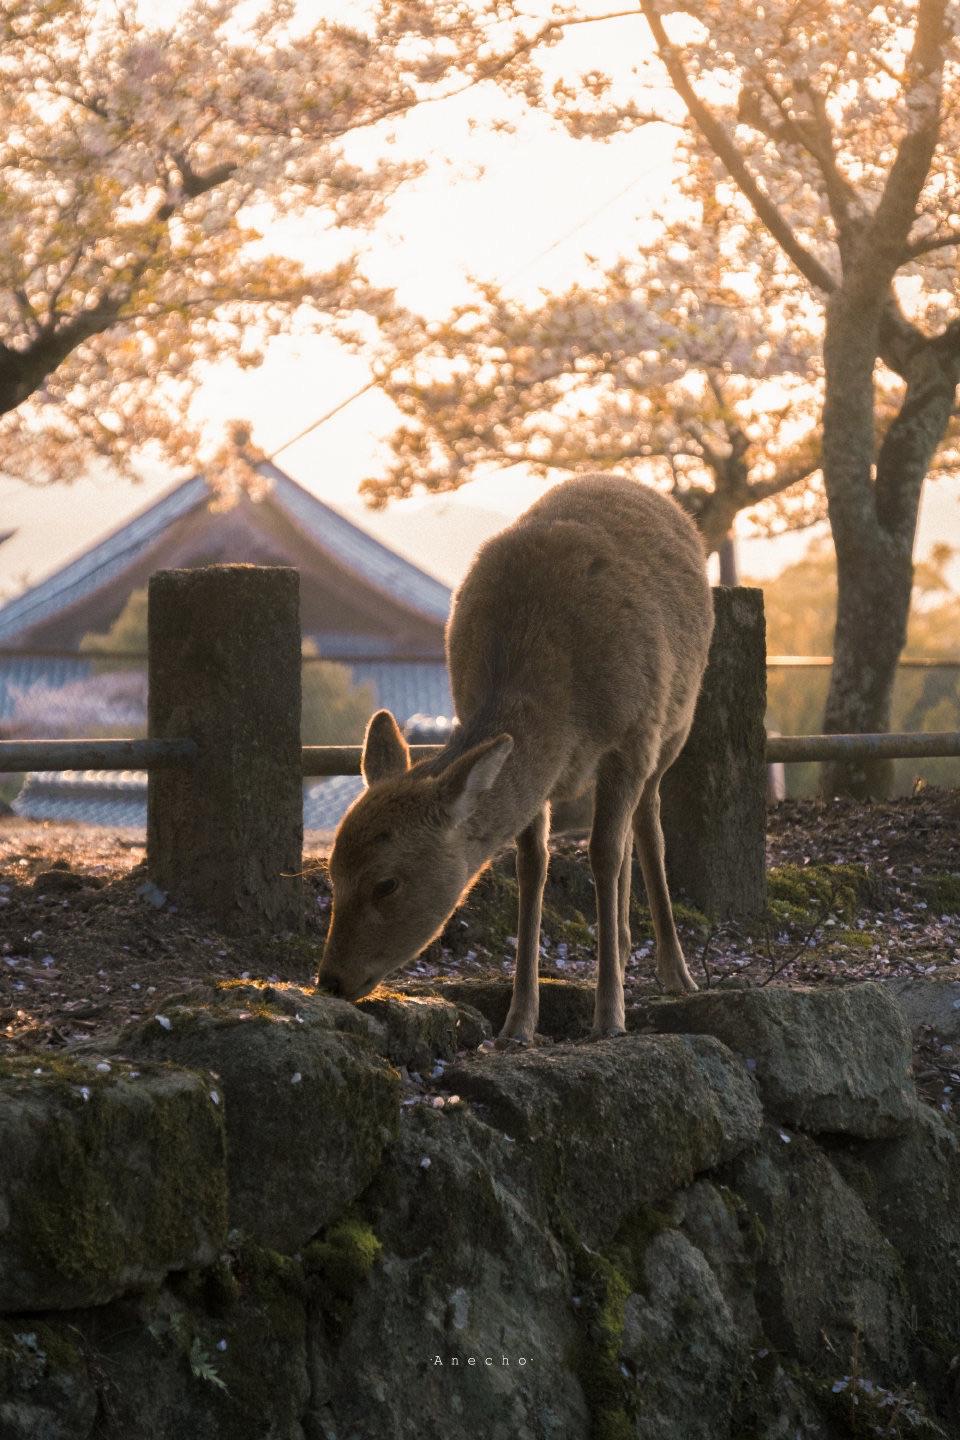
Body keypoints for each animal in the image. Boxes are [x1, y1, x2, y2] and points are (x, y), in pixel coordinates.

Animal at [319, 478, 716, 1042]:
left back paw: (675, 971)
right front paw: (518, 1022)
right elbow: (533, 867)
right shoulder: (537, 779)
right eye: (332, 871)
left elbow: (602, 853)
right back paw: (619, 945)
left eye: (386, 883)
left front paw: (609, 1018)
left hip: (674, 727)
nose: (329, 980)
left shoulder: (634, 732)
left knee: (646, 825)